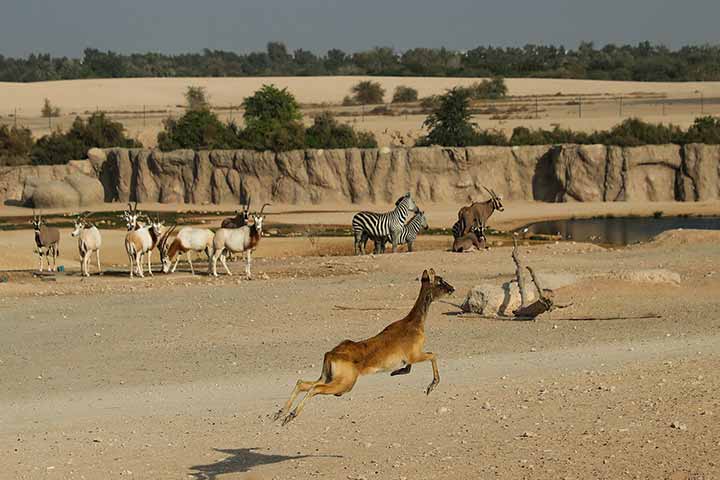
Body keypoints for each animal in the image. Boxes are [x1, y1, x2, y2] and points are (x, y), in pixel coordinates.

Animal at [276, 268, 456, 426]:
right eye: (440, 281)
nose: (452, 288)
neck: (413, 323)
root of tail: (330, 354)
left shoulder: (411, 358)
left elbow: (410, 367)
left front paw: (397, 372)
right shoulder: (415, 355)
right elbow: (433, 355)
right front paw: (431, 386)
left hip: (328, 378)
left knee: (303, 383)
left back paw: (280, 413)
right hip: (342, 385)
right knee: (314, 388)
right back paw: (290, 415)